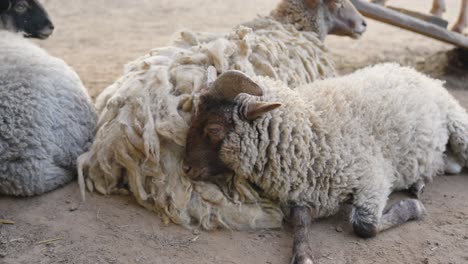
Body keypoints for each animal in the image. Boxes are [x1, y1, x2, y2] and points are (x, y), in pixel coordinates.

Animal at [185, 64, 468, 264]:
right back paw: (419, 183)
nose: (186, 169)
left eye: (213, 128)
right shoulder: (302, 194)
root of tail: (415, 72)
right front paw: (303, 254)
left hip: (459, 126)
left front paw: (413, 209)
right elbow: (300, 222)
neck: (311, 131)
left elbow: (365, 226)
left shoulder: (373, 177)